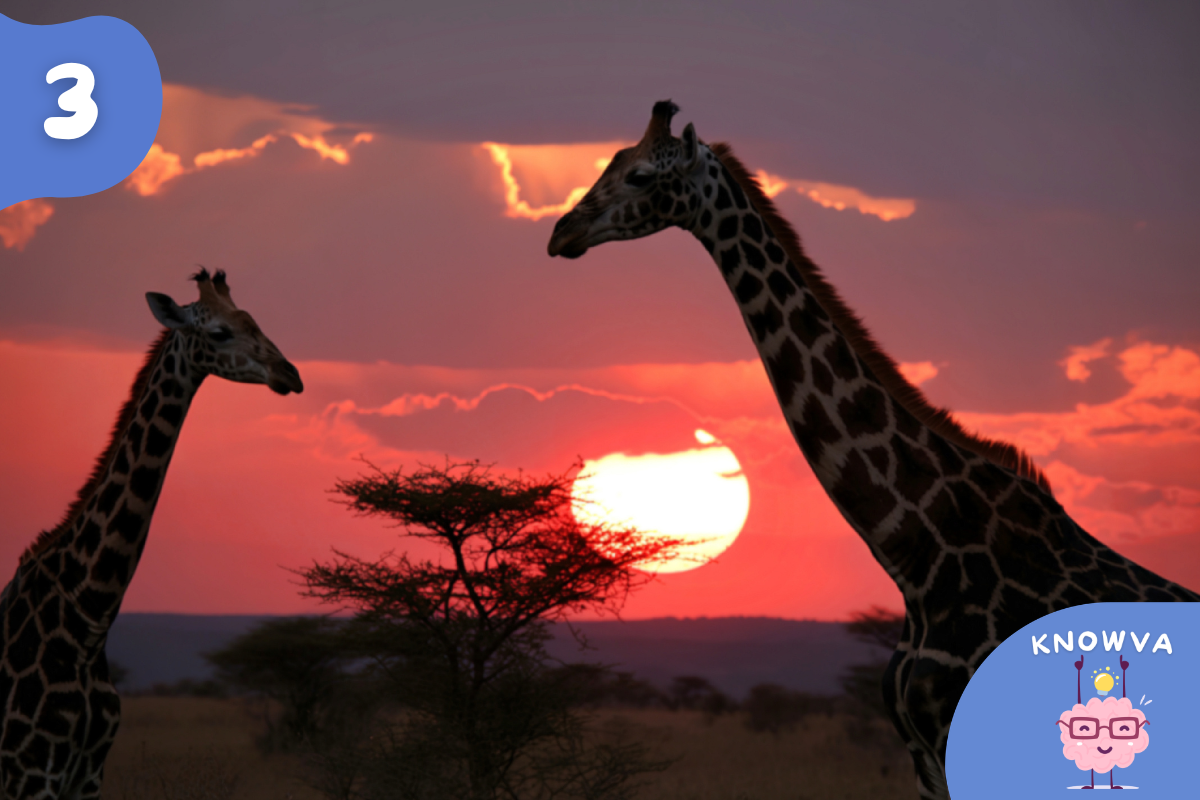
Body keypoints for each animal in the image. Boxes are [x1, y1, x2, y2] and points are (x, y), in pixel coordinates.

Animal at [0, 269, 303, 799]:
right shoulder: (31, 772)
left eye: (255, 320)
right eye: (219, 332)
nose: (291, 375)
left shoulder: (87, 775)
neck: (87, 620)